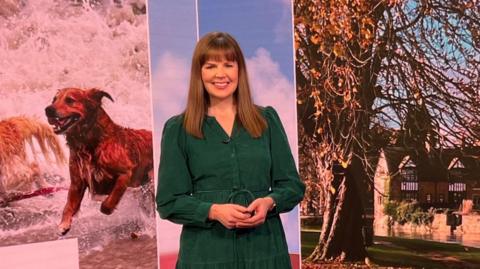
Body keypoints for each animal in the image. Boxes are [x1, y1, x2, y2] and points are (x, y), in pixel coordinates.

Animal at [45, 87, 152, 233]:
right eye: (54, 100)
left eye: (70, 100)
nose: (47, 109)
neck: (90, 142)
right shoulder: (77, 182)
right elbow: (68, 205)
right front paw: (64, 223)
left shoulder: (125, 173)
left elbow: (111, 198)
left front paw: (107, 207)